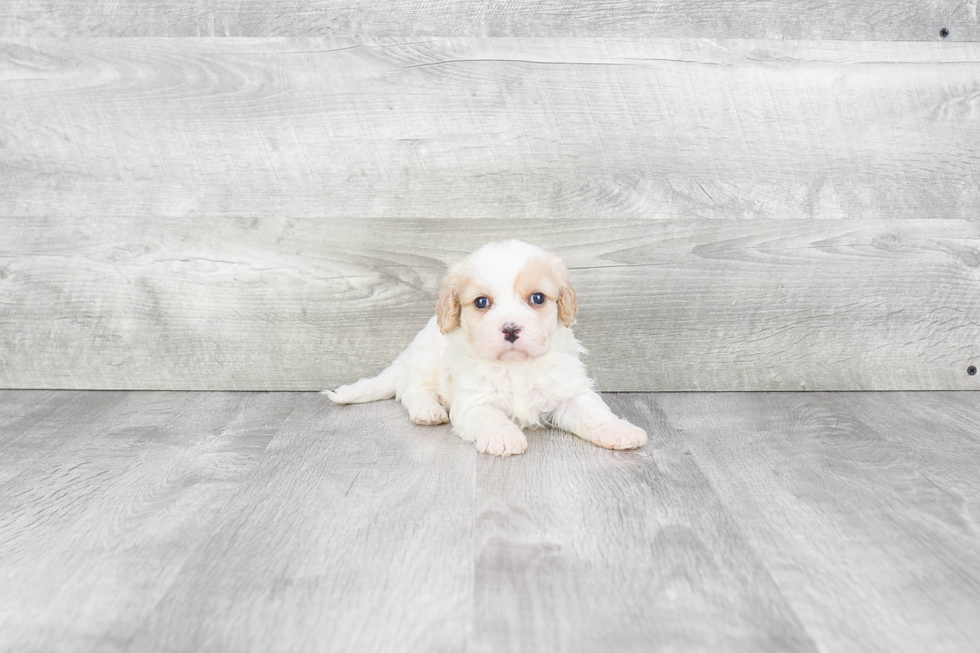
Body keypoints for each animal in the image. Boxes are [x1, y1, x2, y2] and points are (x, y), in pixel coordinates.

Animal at [326, 238, 652, 454]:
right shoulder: (474, 401)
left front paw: (620, 430)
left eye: (537, 298)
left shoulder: (570, 392)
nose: (510, 329)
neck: (516, 366)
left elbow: (596, 413)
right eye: (481, 302)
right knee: (413, 392)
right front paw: (504, 437)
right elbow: (490, 417)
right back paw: (428, 410)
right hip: (425, 361)